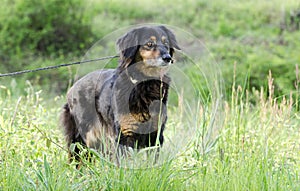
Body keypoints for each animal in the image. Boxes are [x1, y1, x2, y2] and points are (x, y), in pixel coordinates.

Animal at [59, 25, 179, 163]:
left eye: (166, 43)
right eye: (149, 44)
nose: (168, 58)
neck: (144, 84)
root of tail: (72, 88)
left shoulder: (156, 134)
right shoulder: (124, 135)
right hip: (82, 140)